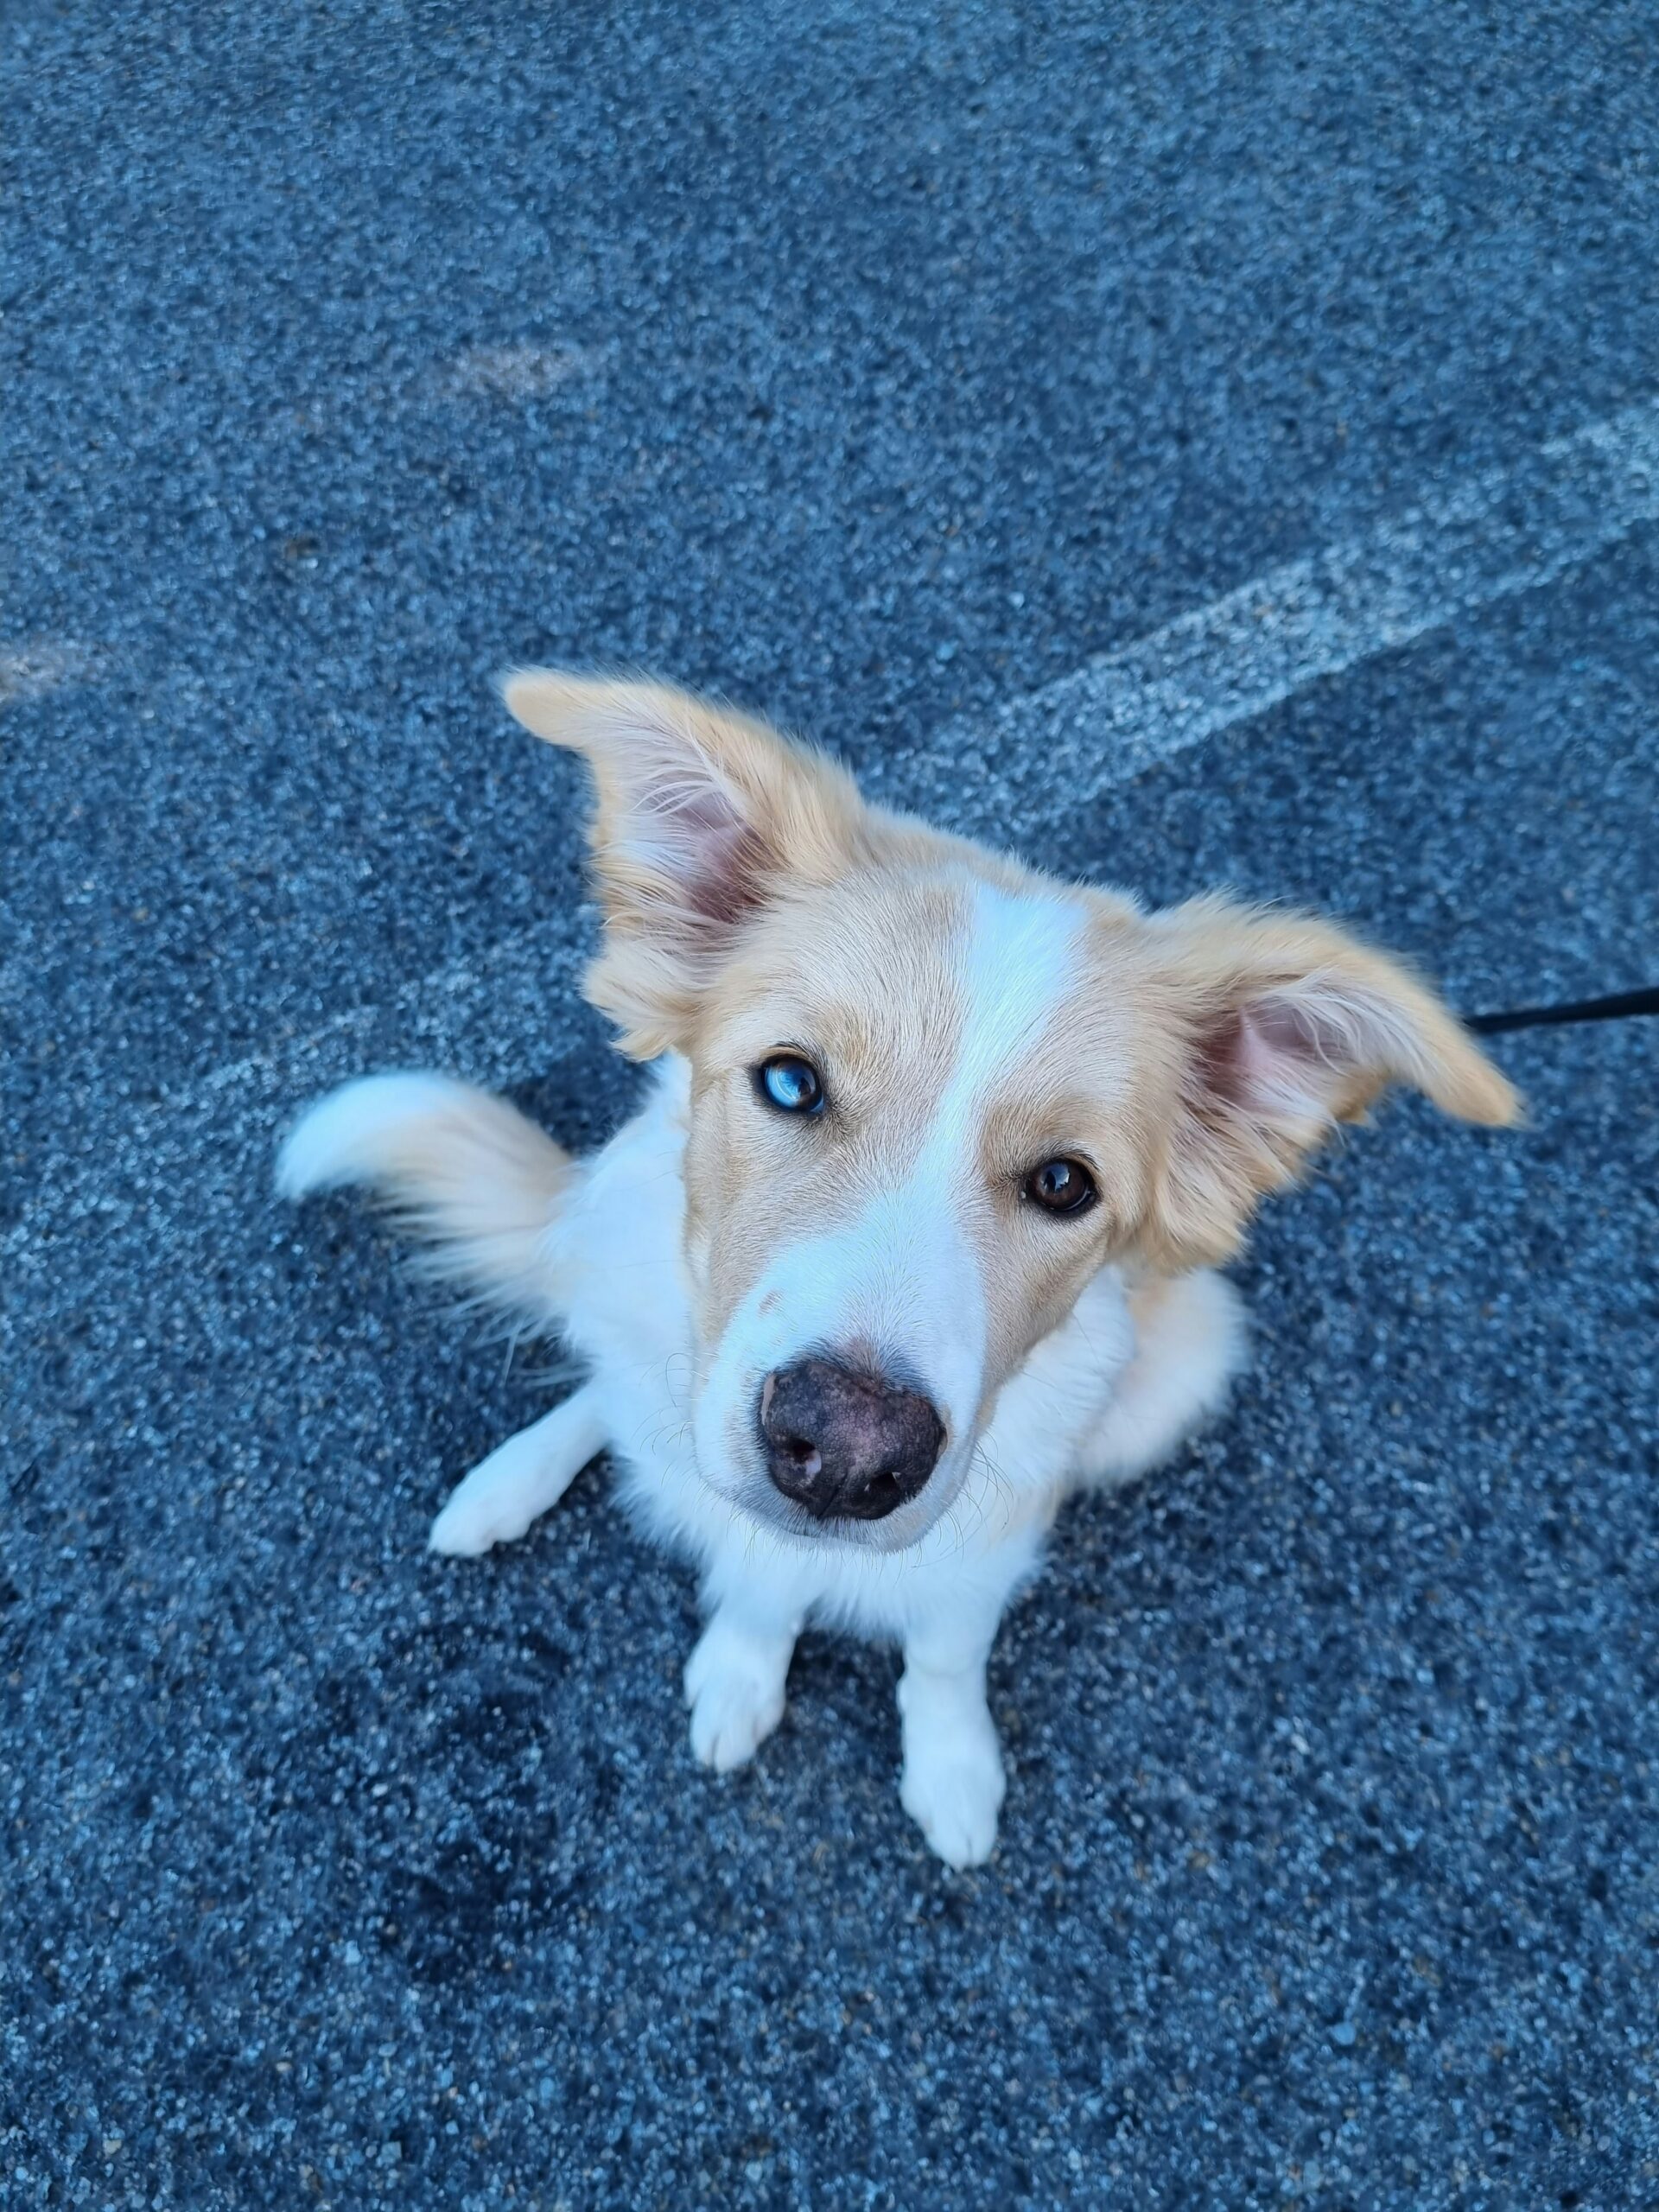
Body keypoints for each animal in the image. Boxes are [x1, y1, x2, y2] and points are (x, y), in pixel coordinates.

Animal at [279, 672, 1530, 1866]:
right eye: (790, 1081)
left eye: (1065, 1183)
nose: (843, 1456)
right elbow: (754, 1584)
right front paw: (741, 1672)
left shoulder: (994, 1527)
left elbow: (940, 1653)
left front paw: (952, 1771)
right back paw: (507, 1483)